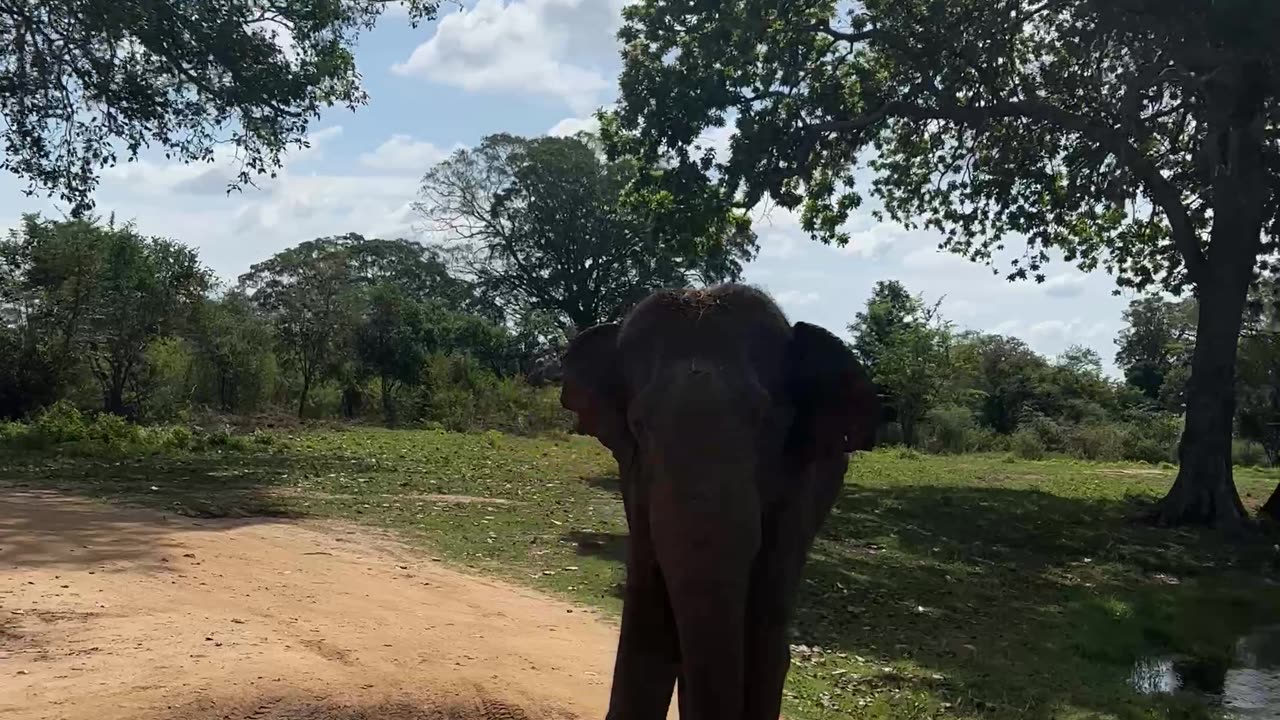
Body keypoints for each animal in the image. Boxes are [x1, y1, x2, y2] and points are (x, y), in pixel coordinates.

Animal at [560, 283, 880, 717]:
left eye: (767, 422)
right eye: (638, 424)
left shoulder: (797, 489)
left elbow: (762, 635)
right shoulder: (634, 478)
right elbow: (648, 626)